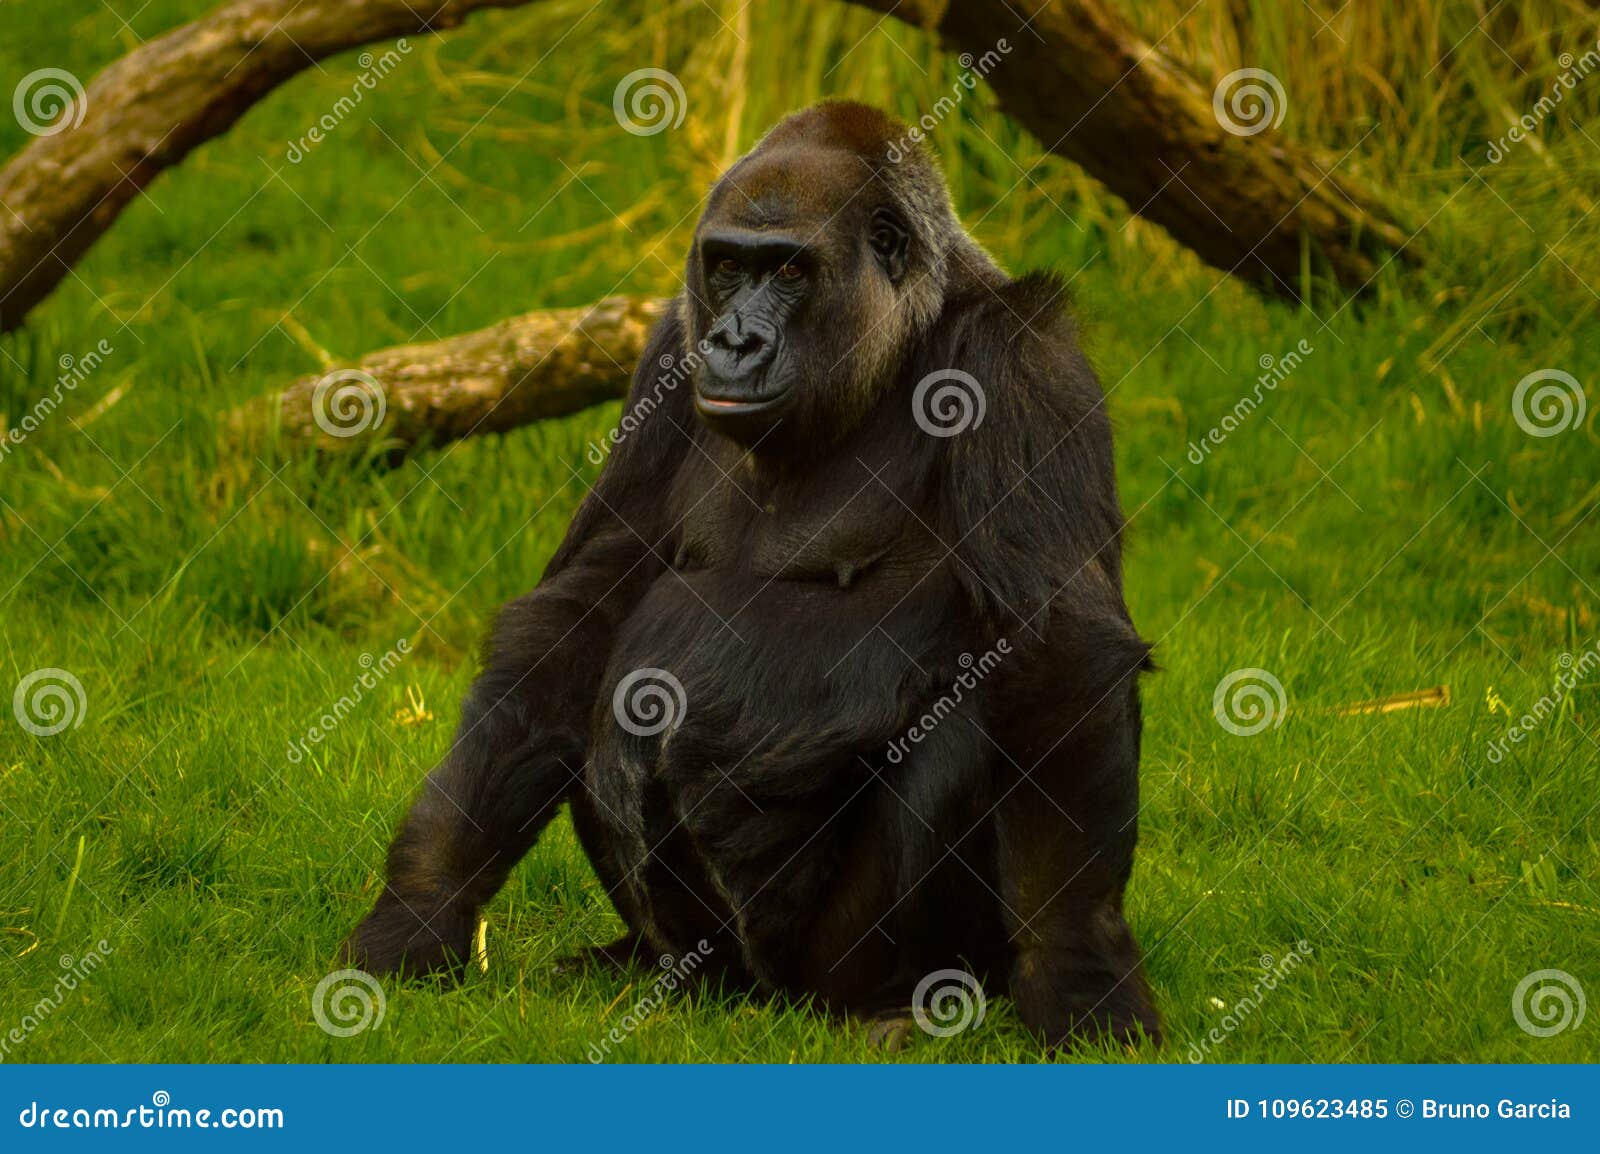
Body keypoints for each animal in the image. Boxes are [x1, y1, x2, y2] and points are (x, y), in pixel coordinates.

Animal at [344, 101, 1158, 1043]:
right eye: (730, 267)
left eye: (790, 271)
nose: (733, 339)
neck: (903, 339)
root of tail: (763, 997)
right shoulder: (668, 354)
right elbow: (578, 618)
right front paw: (420, 906)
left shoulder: (1022, 357)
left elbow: (1056, 652)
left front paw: (1078, 972)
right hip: (716, 962)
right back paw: (646, 962)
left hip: (828, 970)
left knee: (968, 715)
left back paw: (900, 1001)